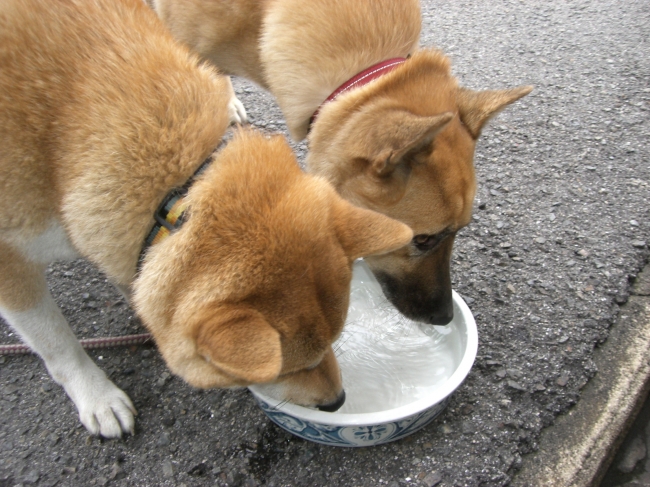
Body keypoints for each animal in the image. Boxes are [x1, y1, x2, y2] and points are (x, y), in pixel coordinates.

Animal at [1, 0, 410, 438]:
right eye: (292, 369)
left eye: (335, 340)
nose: (337, 402)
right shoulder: (11, 261)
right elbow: (56, 342)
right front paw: (96, 395)